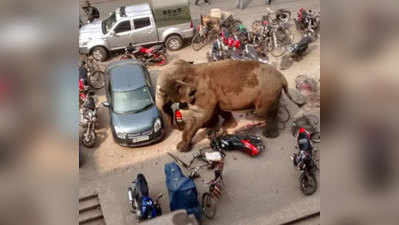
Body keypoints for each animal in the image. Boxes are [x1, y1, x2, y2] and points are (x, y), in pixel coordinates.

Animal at [156, 59, 304, 152]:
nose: (178, 125)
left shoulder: (203, 92)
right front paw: (226, 126)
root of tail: (283, 78)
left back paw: (265, 131)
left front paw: (181, 148)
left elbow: (201, 116)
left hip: (267, 93)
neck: (190, 68)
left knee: (265, 111)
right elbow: (217, 109)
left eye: (162, 92)